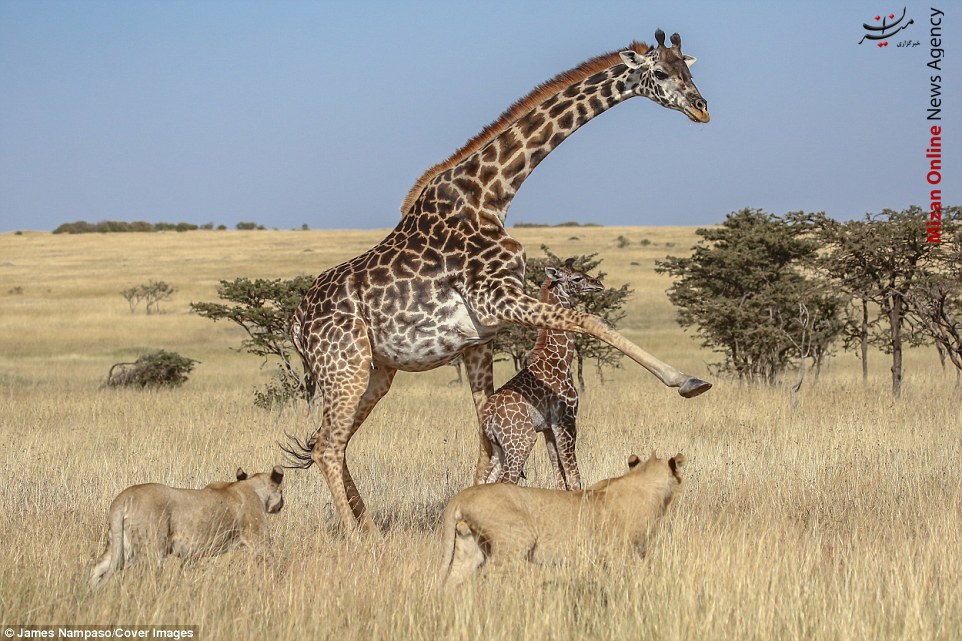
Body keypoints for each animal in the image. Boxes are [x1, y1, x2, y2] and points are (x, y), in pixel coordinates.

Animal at [480, 258, 600, 488]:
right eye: (576, 278)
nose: (598, 284)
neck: (560, 358)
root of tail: (487, 416)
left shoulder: (548, 428)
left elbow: (559, 477)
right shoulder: (566, 419)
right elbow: (574, 477)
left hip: (498, 447)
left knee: (483, 480)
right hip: (521, 441)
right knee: (506, 480)